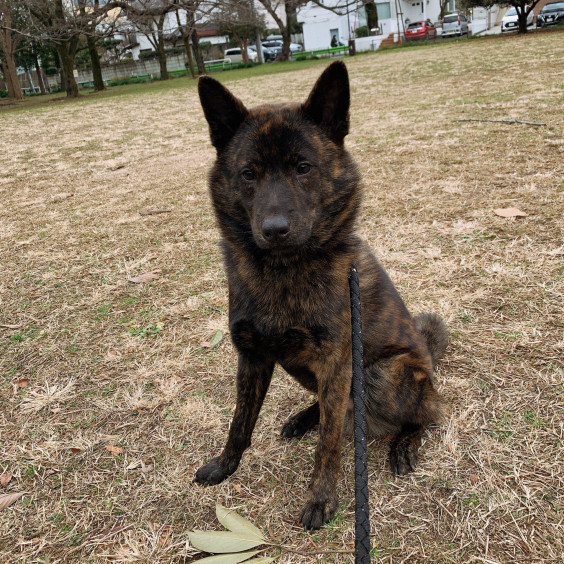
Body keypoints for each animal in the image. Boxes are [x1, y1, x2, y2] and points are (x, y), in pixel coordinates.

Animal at [196, 62, 448, 532]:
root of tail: (427, 356)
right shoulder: (253, 358)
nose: (275, 229)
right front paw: (225, 465)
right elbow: (240, 422)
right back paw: (303, 417)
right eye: (248, 173)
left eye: (303, 167)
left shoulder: (336, 362)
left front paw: (321, 499)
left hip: (382, 374)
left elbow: (329, 445)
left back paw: (405, 443)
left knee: (427, 414)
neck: (284, 273)